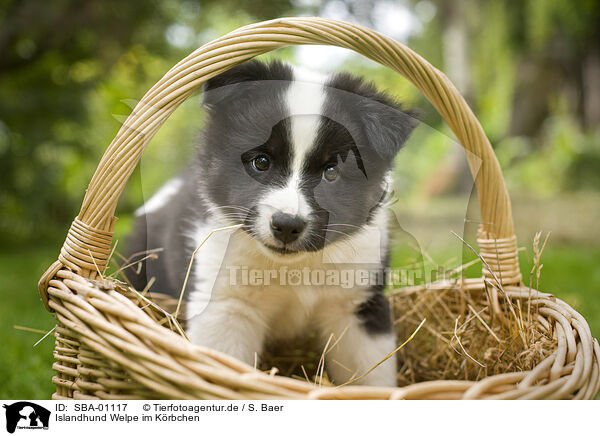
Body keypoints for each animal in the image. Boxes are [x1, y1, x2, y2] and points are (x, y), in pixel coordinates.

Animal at [125, 60, 418, 384]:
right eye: (261, 162)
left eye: (331, 172)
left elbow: (369, 376)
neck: (293, 268)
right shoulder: (226, 303)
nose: (287, 225)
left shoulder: (358, 304)